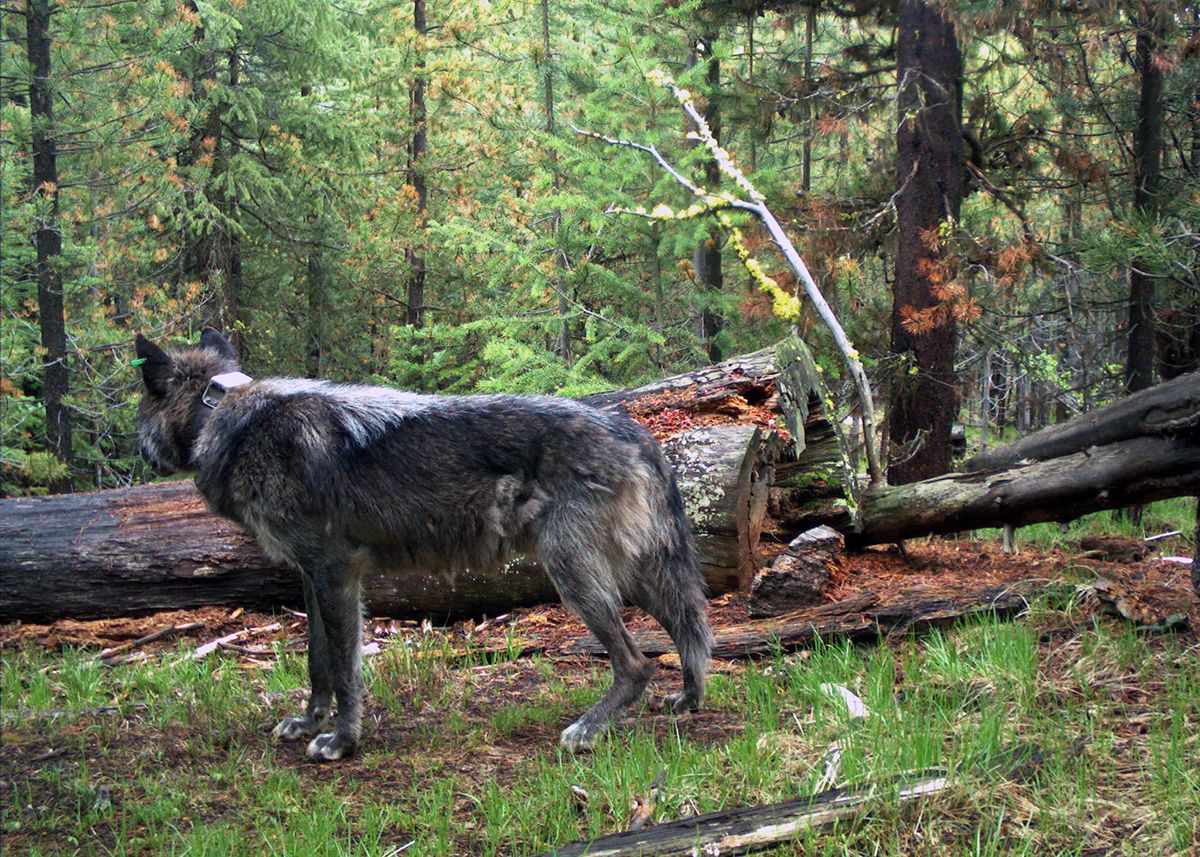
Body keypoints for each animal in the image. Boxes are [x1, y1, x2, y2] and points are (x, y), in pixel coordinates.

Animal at [134, 329, 713, 761]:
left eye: (141, 403)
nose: (138, 449)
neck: (227, 416)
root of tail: (632, 429)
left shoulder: (337, 572)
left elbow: (345, 670)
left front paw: (342, 741)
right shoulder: (311, 576)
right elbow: (318, 662)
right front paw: (307, 721)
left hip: (575, 577)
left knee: (637, 663)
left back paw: (588, 730)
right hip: (635, 576)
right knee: (688, 629)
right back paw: (688, 697)